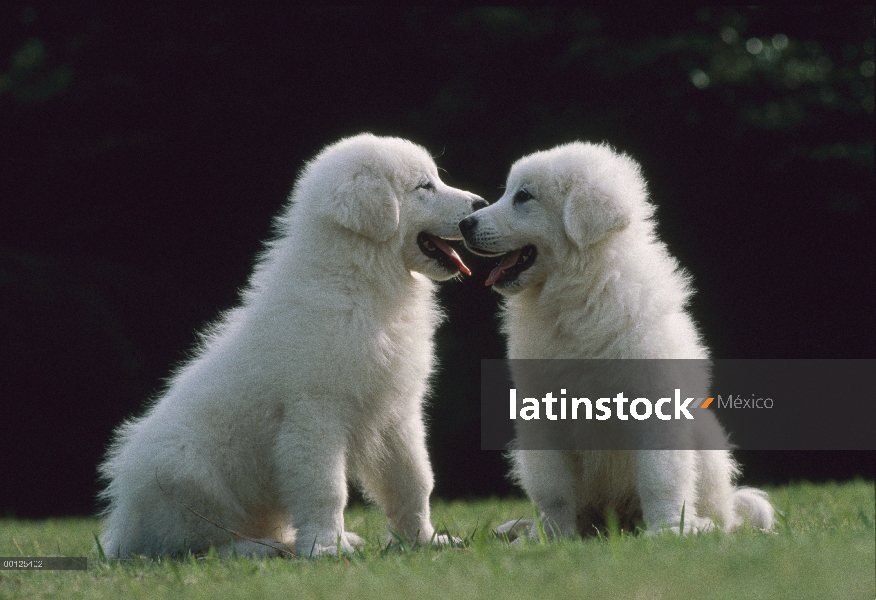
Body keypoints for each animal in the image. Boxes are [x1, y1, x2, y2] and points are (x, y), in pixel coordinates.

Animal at [102, 132, 490, 556]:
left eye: (437, 178)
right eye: (424, 187)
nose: (480, 205)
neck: (360, 280)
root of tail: (122, 528)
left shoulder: (397, 412)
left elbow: (413, 480)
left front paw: (426, 540)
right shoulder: (315, 414)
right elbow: (326, 488)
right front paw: (325, 549)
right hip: (187, 473)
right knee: (196, 543)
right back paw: (261, 549)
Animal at [458, 142, 772, 540]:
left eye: (523, 197)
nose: (465, 224)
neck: (581, 295)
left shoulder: (654, 405)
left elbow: (659, 476)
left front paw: (666, 530)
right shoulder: (542, 415)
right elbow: (553, 488)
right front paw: (552, 539)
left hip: (709, 447)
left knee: (722, 514)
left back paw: (700, 525)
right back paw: (524, 530)